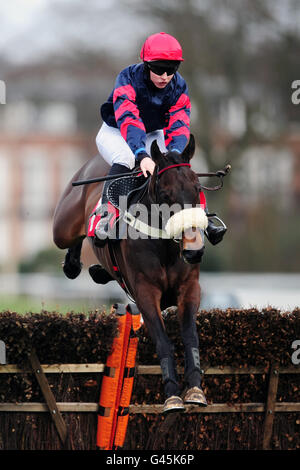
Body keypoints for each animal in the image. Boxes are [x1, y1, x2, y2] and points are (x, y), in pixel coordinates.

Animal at [53, 135, 209, 412]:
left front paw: (195, 390)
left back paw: (95, 270)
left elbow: (190, 336)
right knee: (74, 237)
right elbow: (163, 341)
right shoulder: (146, 292)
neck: (165, 246)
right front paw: (172, 395)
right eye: (166, 194)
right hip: (62, 226)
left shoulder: (190, 288)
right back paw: (73, 261)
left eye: (196, 188)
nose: (193, 250)